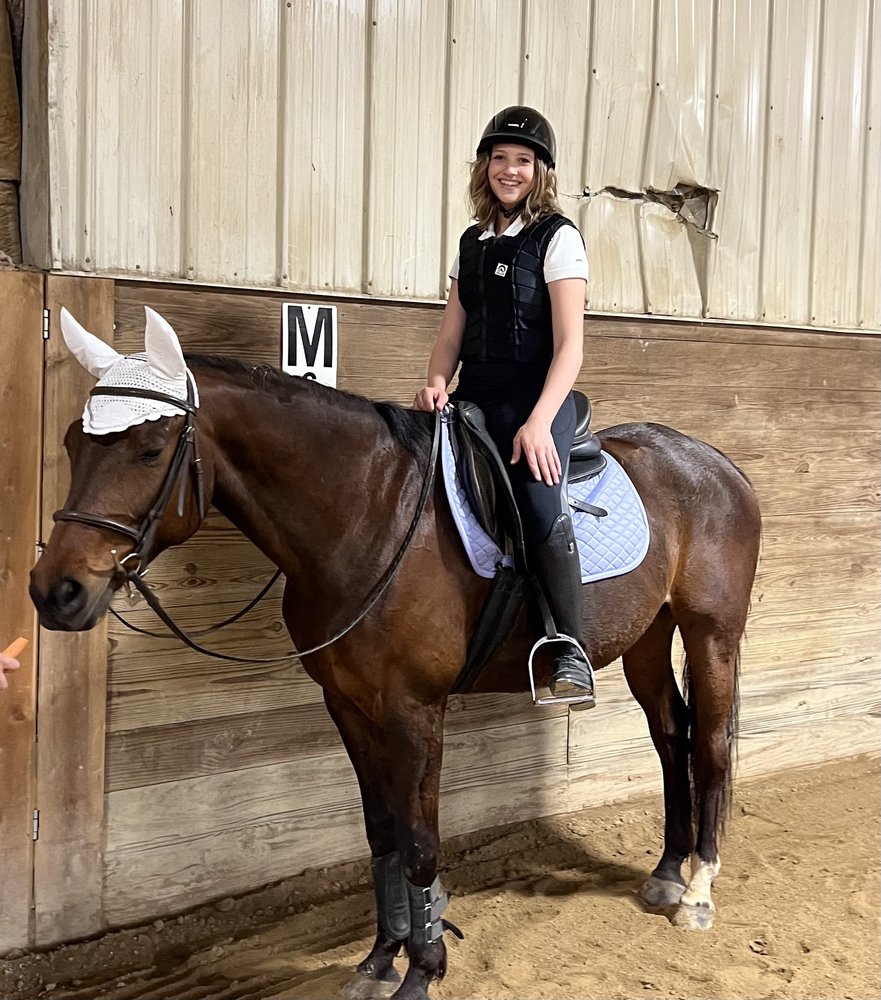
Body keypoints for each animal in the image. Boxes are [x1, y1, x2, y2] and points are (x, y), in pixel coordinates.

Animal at [30, 307, 761, 1000]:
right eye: (69, 441)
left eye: (151, 448)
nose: (55, 591)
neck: (367, 515)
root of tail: (717, 464)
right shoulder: (348, 704)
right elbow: (381, 834)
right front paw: (381, 959)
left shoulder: (414, 708)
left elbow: (418, 842)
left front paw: (423, 970)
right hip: (647, 637)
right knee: (669, 733)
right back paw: (667, 873)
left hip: (711, 634)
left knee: (709, 746)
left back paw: (698, 892)